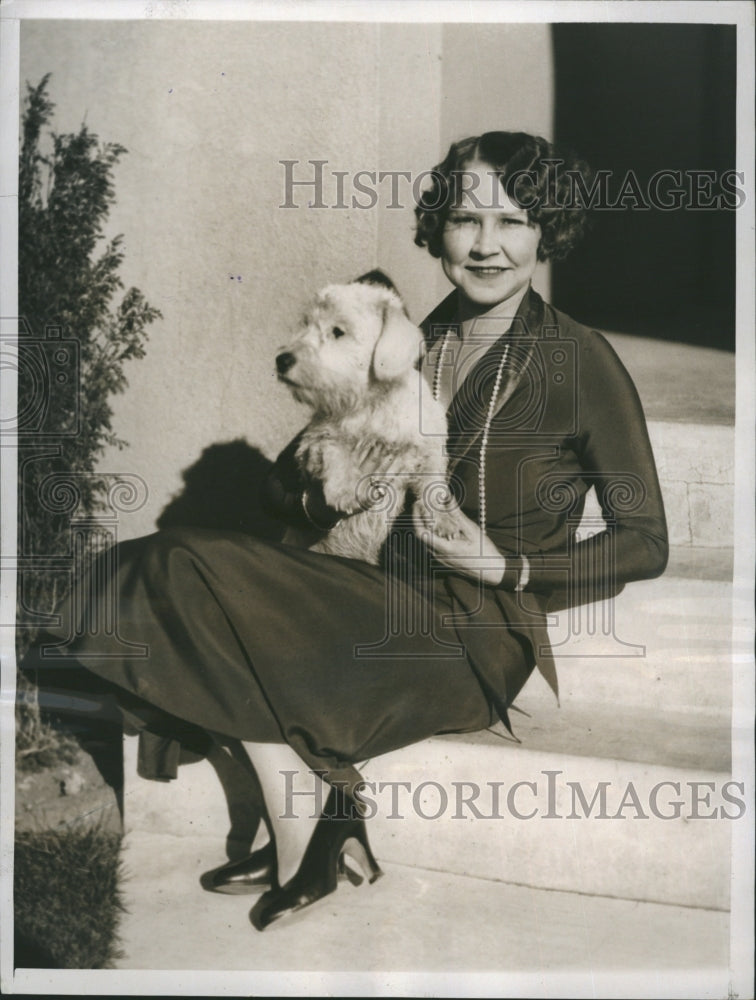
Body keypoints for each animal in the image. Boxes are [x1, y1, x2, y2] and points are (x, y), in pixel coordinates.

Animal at [274, 274, 458, 568]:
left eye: (338, 331)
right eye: (306, 324)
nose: (281, 360)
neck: (370, 403)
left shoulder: (428, 448)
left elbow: (433, 483)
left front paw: (444, 520)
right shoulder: (315, 441)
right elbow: (334, 454)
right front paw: (344, 491)